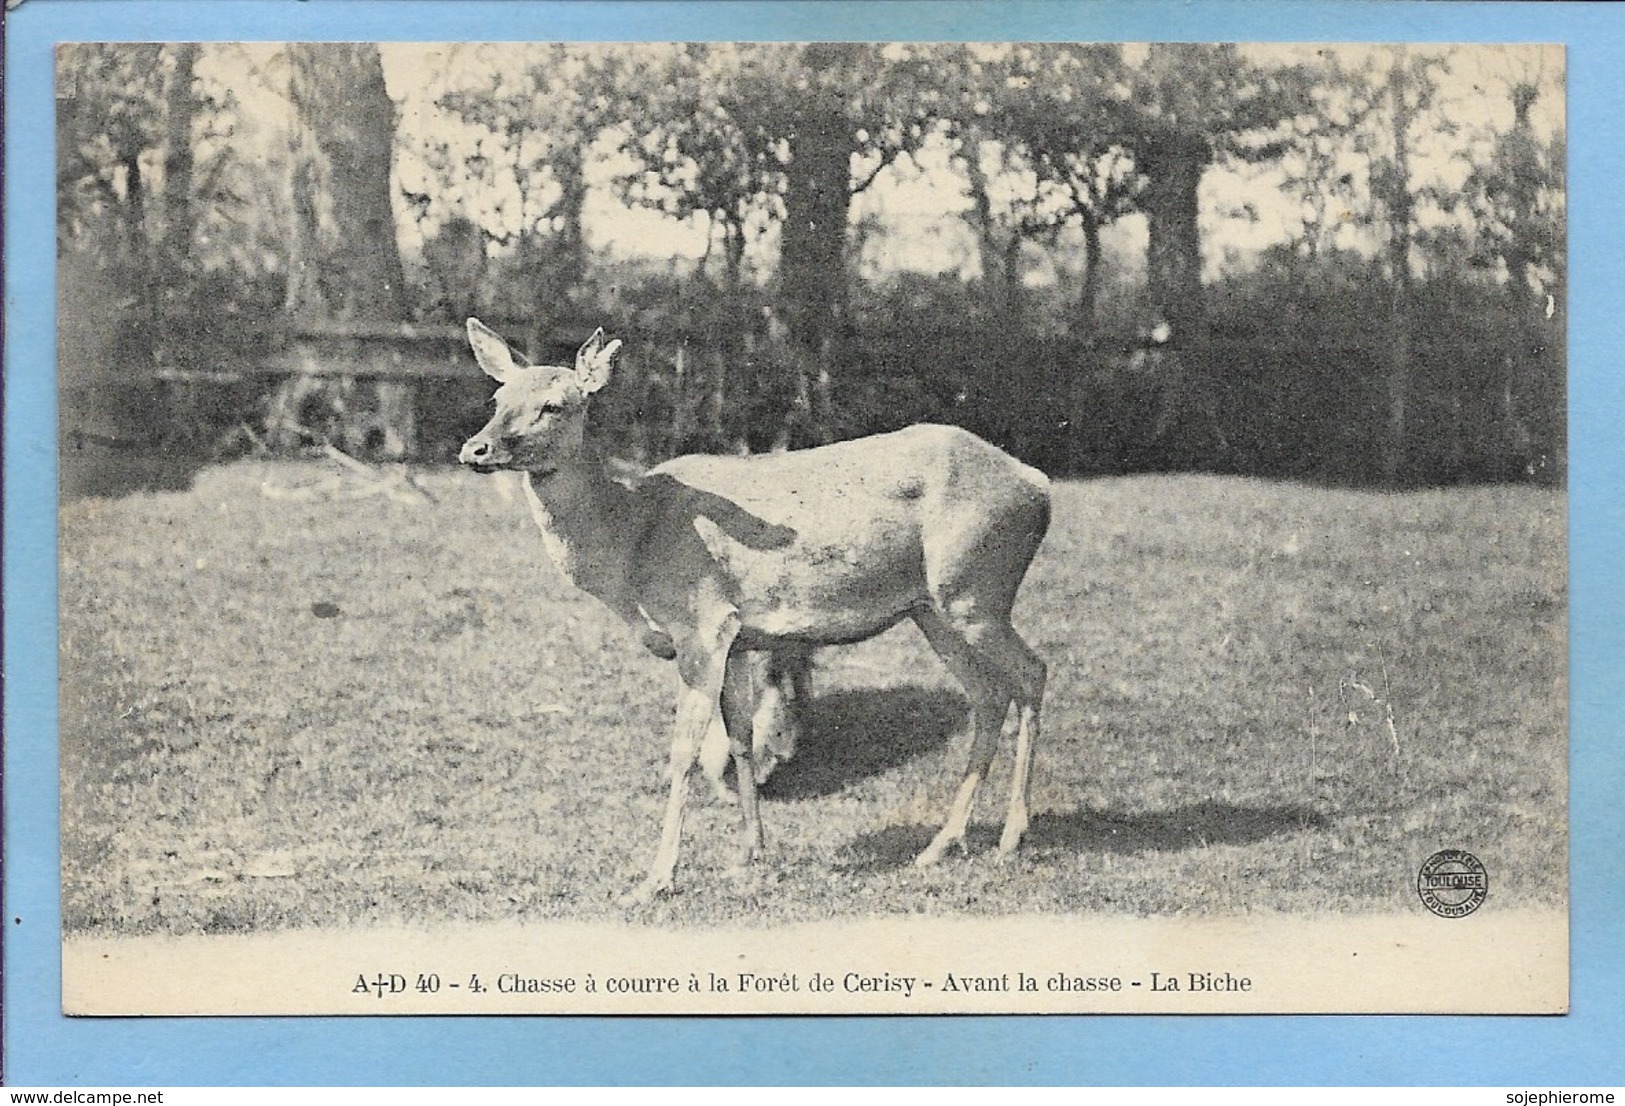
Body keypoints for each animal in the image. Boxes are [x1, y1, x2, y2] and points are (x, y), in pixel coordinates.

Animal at [458, 315, 1053, 902]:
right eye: (497, 397)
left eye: (554, 404)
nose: (475, 449)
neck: (631, 548)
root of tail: (1039, 485)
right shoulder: (741, 639)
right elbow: (740, 740)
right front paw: (749, 853)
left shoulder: (702, 622)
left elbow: (684, 751)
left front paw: (656, 877)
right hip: (933, 608)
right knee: (988, 694)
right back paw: (940, 844)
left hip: (977, 588)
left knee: (1032, 672)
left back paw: (1011, 835)